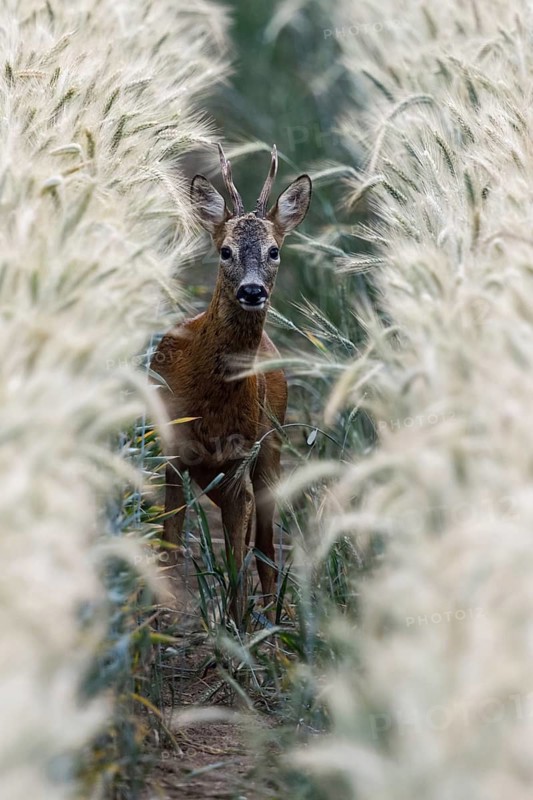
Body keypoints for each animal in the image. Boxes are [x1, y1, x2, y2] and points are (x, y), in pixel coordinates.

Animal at [150, 144, 312, 624]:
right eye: (225, 250)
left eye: (274, 251)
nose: (253, 291)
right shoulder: (173, 451)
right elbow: (168, 547)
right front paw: (159, 621)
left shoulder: (241, 457)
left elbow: (239, 559)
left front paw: (238, 630)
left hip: (271, 448)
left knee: (265, 549)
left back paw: (270, 624)